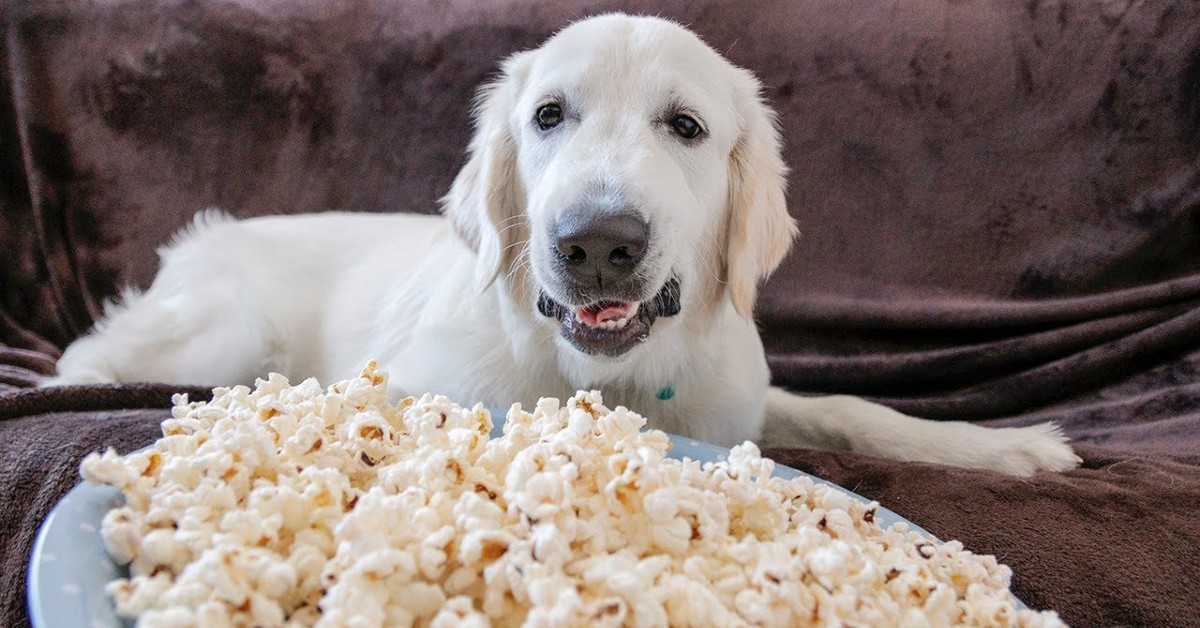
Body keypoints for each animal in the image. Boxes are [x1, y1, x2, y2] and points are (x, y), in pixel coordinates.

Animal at [44, 13, 1080, 477]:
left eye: (686, 127)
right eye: (548, 115)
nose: (597, 245)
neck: (605, 377)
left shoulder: (738, 403)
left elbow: (845, 409)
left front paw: (1001, 449)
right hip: (221, 331)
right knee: (88, 354)